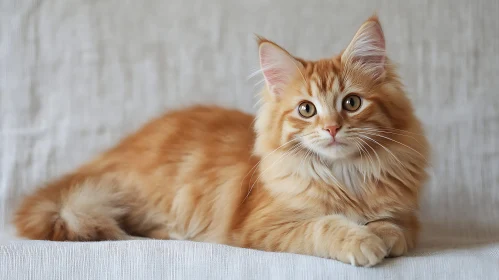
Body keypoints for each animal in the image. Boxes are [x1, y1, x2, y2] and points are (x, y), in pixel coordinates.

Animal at [13, 15, 428, 266]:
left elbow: (395, 228)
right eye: (307, 109)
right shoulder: (264, 225)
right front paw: (363, 241)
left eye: (351, 103)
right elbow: (324, 226)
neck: (345, 176)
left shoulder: (407, 216)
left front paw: (380, 234)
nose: (331, 128)